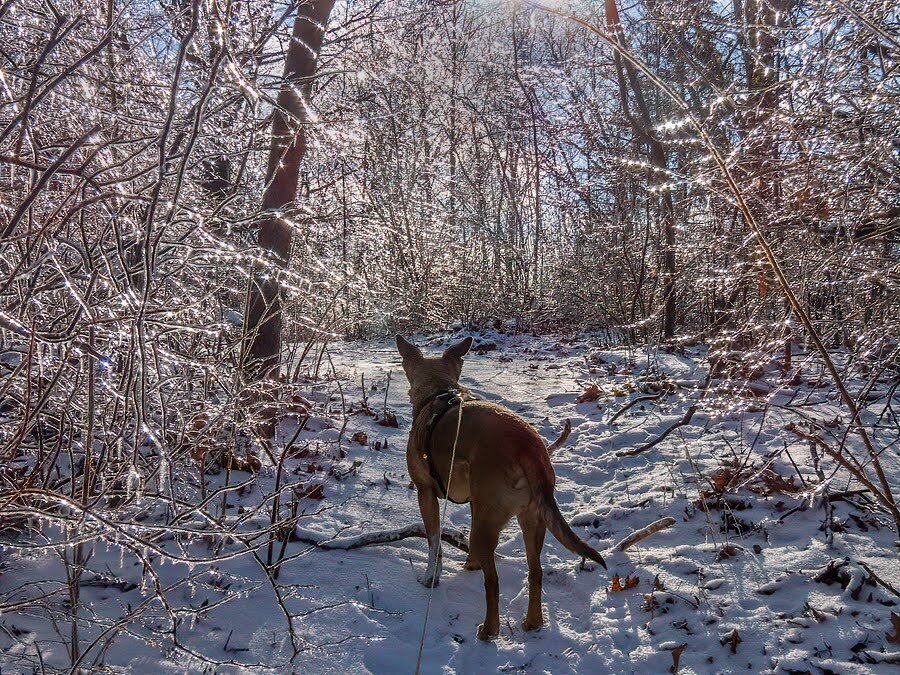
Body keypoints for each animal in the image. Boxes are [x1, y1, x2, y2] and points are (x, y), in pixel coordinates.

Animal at [400, 336, 604, 640]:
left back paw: (488, 630)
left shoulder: (426, 494)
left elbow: (434, 542)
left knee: (493, 582)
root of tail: (529, 448)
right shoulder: (475, 502)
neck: (438, 392)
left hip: (489, 527)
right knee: (535, 571)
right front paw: (470, 565)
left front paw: (430, 579)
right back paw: (532, 623)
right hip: (532, 520)